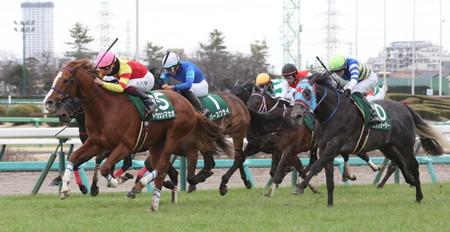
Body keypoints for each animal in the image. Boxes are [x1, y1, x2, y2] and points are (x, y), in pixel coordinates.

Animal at [44, 59, 232, 212]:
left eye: (66, 80)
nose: (49, 102)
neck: (106, 108)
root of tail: (191, 107)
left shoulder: (125, 146)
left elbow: (105, 168)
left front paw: (117, 181)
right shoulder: (96, 143)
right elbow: (74, 158)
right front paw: (65, 189)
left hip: (174, 137)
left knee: (162, 166)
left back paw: (146, 194)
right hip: (157, 144)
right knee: (161, 167)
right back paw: (152, 194)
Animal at [290, 73, 448, 207]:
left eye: (307, 93)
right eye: (293, 93)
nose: (296, 115)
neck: (330, 115)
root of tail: (405, 107)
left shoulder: (334, 145)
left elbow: (316, 166)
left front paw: (300, 187)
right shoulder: (325, 148)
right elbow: (328, 177)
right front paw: (330, 204)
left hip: (405, 144)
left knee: (413, 165)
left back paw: (418, 196)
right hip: (387, 146)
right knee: (399, 161)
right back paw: (411, 181)